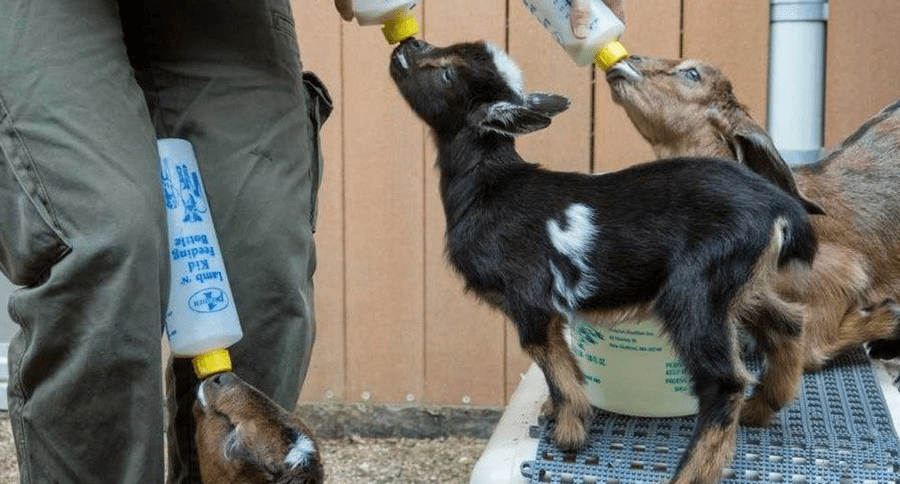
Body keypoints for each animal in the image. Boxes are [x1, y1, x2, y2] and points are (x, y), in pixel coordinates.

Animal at [390, 38, 817, 484]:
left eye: (445, 74)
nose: (408, 43)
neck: (490, 187)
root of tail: (779, 206)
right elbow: (561, 360)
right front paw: (559, 415)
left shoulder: (529, 298)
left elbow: (550, 361)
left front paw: (570, 431)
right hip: (738, 285)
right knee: (790, 320)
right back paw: (763, 407)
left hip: (696, 290)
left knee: (725, 381)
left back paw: (689, 473)